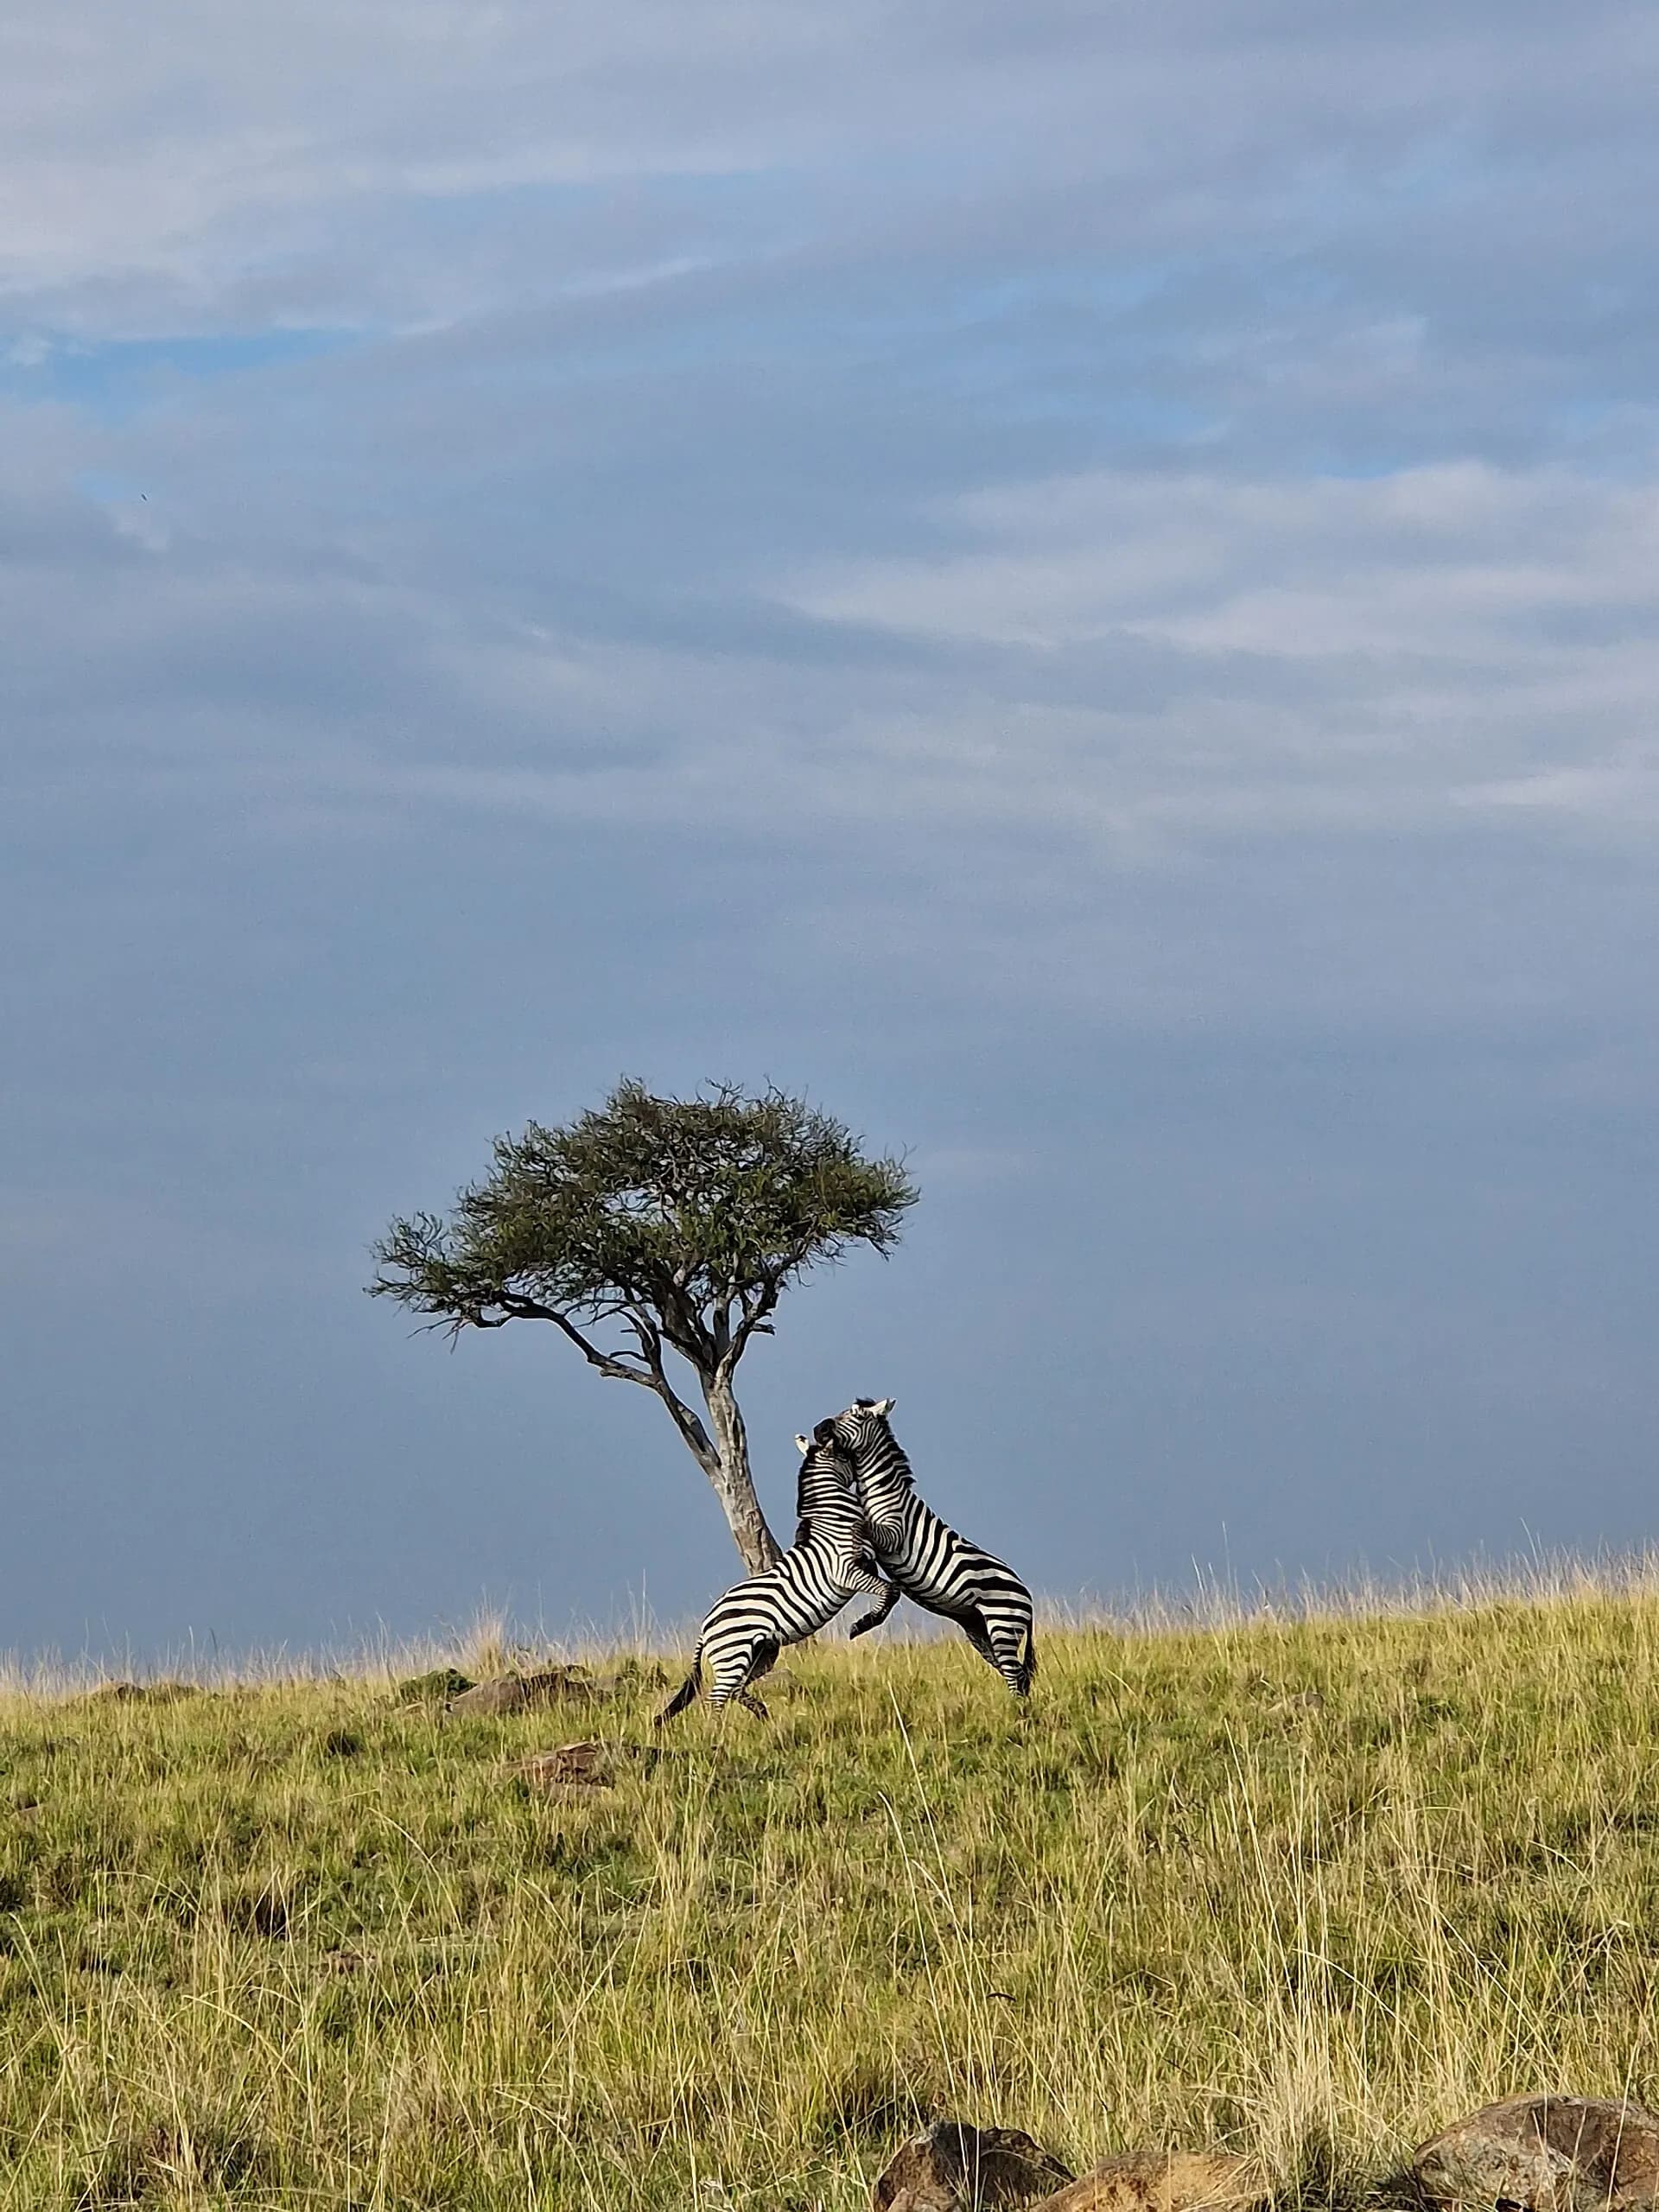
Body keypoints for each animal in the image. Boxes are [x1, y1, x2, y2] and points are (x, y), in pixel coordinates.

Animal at [657, 1426, 897, 1722]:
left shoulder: (865, 1563)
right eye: (845, 1455)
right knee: (716, 1697)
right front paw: (865, 1622)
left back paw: (762, 1715)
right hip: (733, 1654)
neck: (833, 1519)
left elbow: (888, 1584)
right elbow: (888, 1590)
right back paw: (718, 1731)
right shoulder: (845, 1572)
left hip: (762, 1652)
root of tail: (706, 1625)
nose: (865, 1472)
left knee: (735, 1689)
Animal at [827, 1396, 1036, 1698]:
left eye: (856, 1416)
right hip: (980, 1629)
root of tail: (1027, 1597)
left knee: (1015, 1674)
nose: (819, 1428)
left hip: (1003, 1624)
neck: (882, 1490)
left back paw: (1016, 1710)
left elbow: (861, 1526)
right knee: (1016, 1674)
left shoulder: (893, 1533)